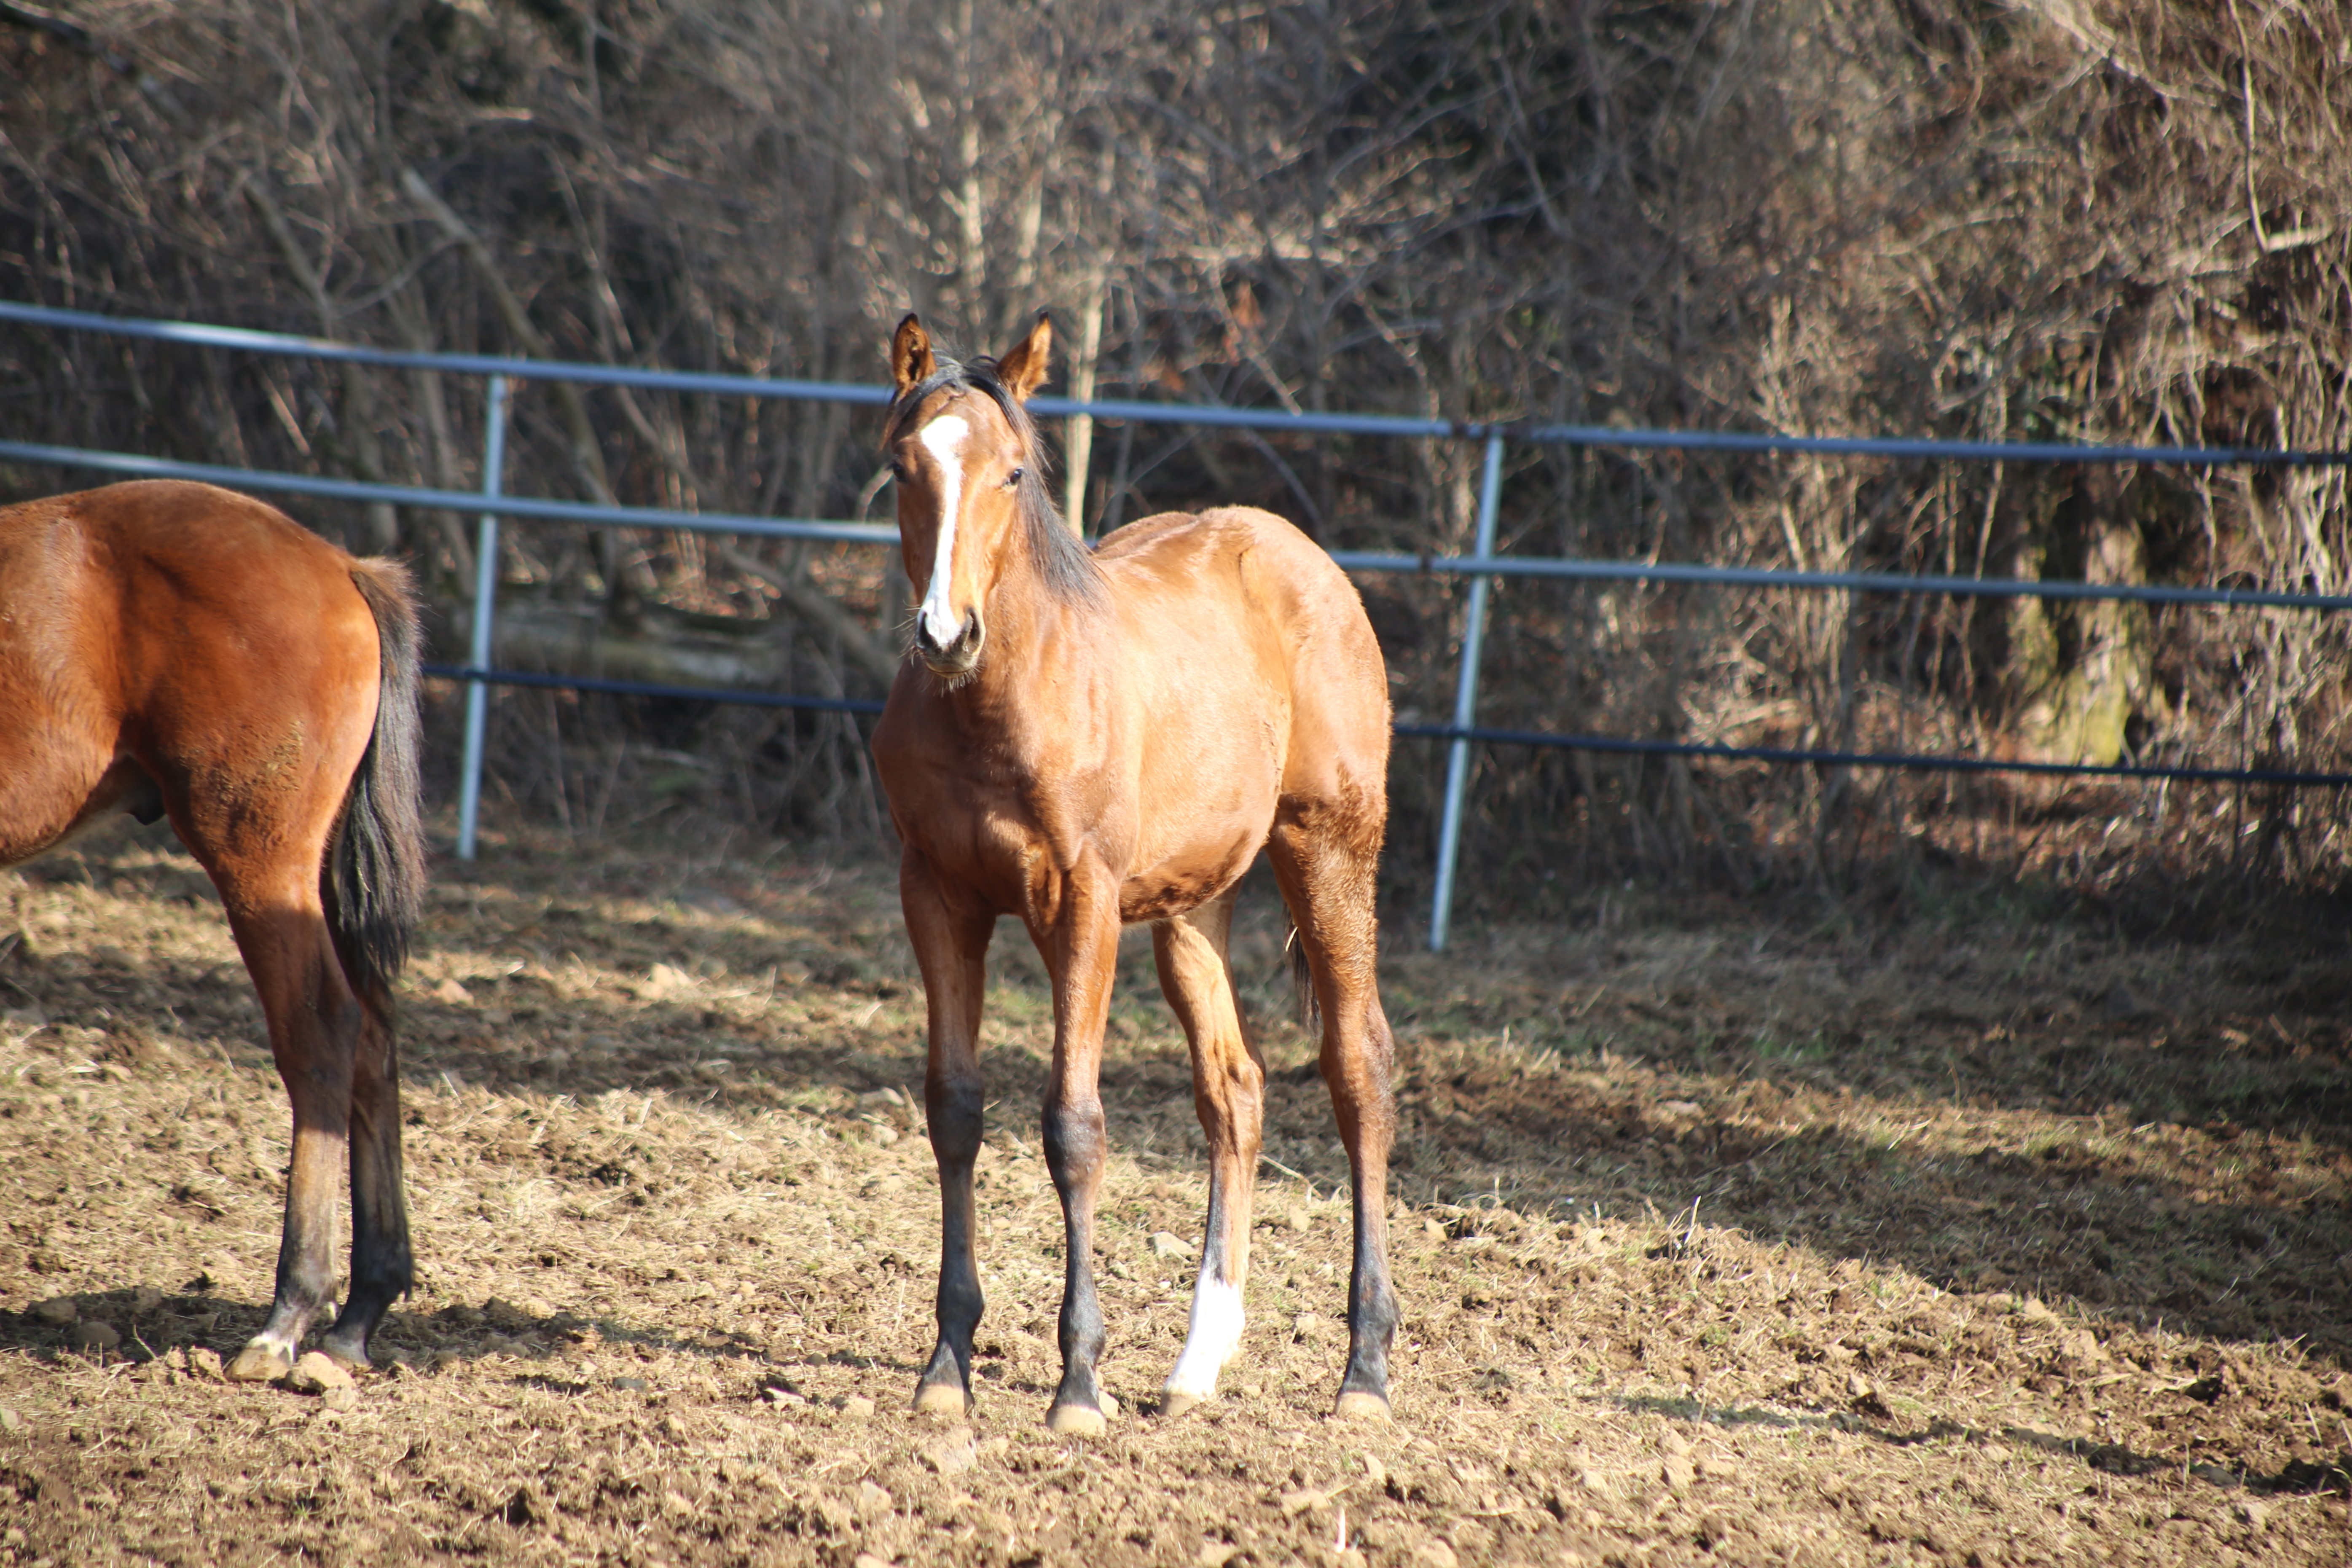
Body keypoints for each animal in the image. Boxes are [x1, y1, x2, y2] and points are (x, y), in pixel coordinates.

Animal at [1, 484, 423, 1382]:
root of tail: (342, 566)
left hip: (261, 867)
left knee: (322, 1034)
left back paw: (290, 1313)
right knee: (374, 1039)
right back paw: (357, 1315)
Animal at [875, 310, 1402, 1439]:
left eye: (1013, 472)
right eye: (903, 468)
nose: (947, 634)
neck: (999, 703)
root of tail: (1302, 560)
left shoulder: (1081, 906)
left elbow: (1073, 1126)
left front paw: (1077, 1383)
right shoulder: (935, 894)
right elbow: (955, 1111)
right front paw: (947, 1367)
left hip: (1329, 852)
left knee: (1358, 1069)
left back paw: (1366, 1371)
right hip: (1194, 908)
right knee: (1234, 1090)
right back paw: (1198, 1362)